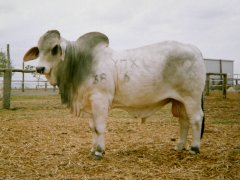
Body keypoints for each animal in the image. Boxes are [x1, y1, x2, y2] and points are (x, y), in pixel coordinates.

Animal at [23, 30, 205, 160]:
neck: (79, 63)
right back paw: (179, 146)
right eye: (39, 50)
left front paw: (99, 152)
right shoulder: (90, 104)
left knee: (196, 119)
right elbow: (92, 128)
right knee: (184, 121)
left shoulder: (100, 100)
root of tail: (195, 49)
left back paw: (194, 149)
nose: (39, 68)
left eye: (54, 49)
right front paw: (93, 149)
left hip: (192, 98)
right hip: (179, 100)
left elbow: (99, 127)